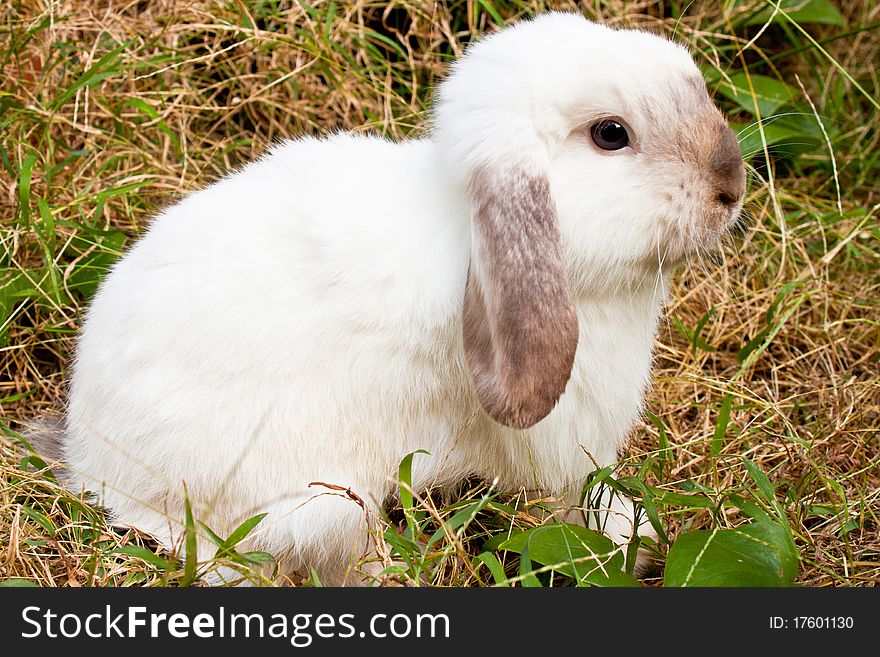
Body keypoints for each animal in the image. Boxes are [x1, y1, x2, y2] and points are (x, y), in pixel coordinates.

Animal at [31, 11, 744, 584]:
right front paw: (627, 545)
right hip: (317, 502)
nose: (730, 187)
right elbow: (571, 503)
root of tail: (93, 464)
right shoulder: (555, 443)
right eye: (610, 134)